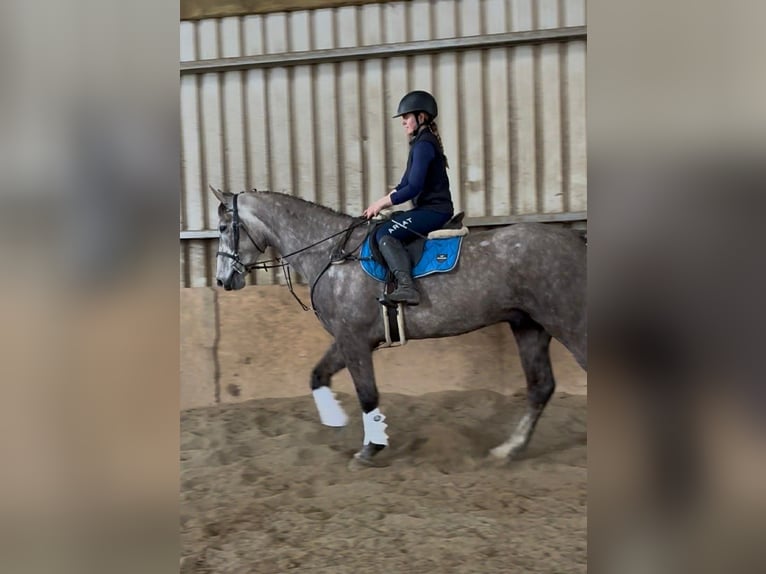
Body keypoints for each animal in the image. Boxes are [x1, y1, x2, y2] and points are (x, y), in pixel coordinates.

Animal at [212, 188, 587, 465]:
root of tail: (575, 240)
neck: (332, 256)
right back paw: (508, 450)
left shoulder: (354, 340)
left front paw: (371, 447)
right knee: (540, 387)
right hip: (529, 326)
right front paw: (336, 421)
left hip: (568, 324)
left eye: (222, 228)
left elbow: (367, 393)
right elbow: (318, 375)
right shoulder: (348, 339)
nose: (222, 280)